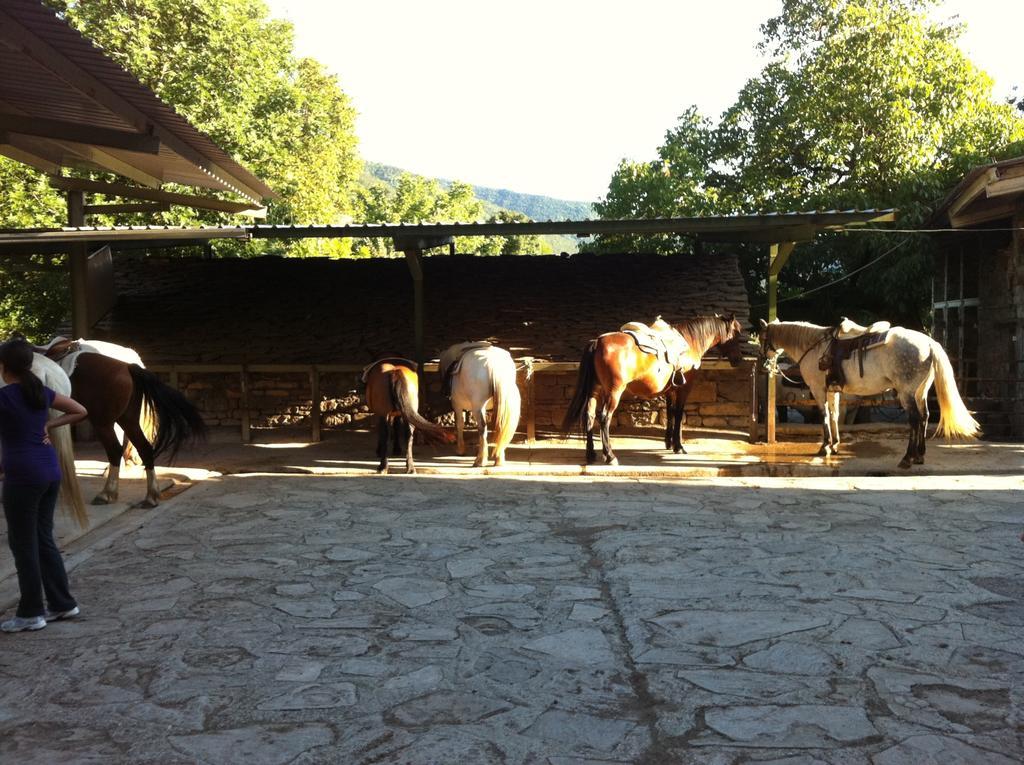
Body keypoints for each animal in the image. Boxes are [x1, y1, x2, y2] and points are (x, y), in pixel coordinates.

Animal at [561, 313, 745, 462]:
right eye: (735, 334)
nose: (738, 360)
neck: (689, 341)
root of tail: (597, 342)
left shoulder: (670, 390)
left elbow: (670, 414)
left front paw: (669, 443)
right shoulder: (684, 389)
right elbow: (679, 415)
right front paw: (679, 446)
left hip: (595, 390)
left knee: (589, 416)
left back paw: (591, 454)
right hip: (614, 392)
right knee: (604, 417)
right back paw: (610, 456)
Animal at [757, 317, 978, 466]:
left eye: (761, 338)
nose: (763, 362)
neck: (813, 346)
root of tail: (929, 343)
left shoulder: (818, 389)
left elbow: (824, 416)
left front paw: (824, 447)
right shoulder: (833, 391)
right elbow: (834, 416)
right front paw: (835, 445)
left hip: (906, 392)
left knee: (915, 419)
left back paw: (908, 458)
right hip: (920, 391)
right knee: (924, 417)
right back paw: (919, 456)